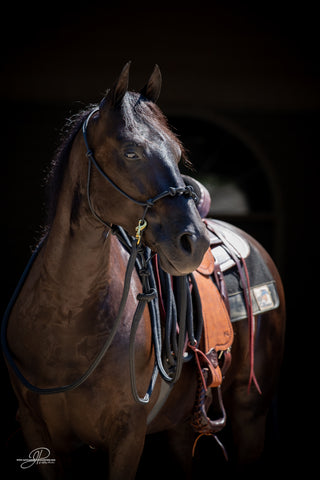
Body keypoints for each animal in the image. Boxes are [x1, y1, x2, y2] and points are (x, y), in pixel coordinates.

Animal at [1, 64, 286, 480]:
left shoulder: (128, 434)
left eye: (178, 152)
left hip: (250, 413)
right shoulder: (38, 432)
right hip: (183, 429)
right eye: (131, 151)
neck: (65, 321)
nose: (194, 242)